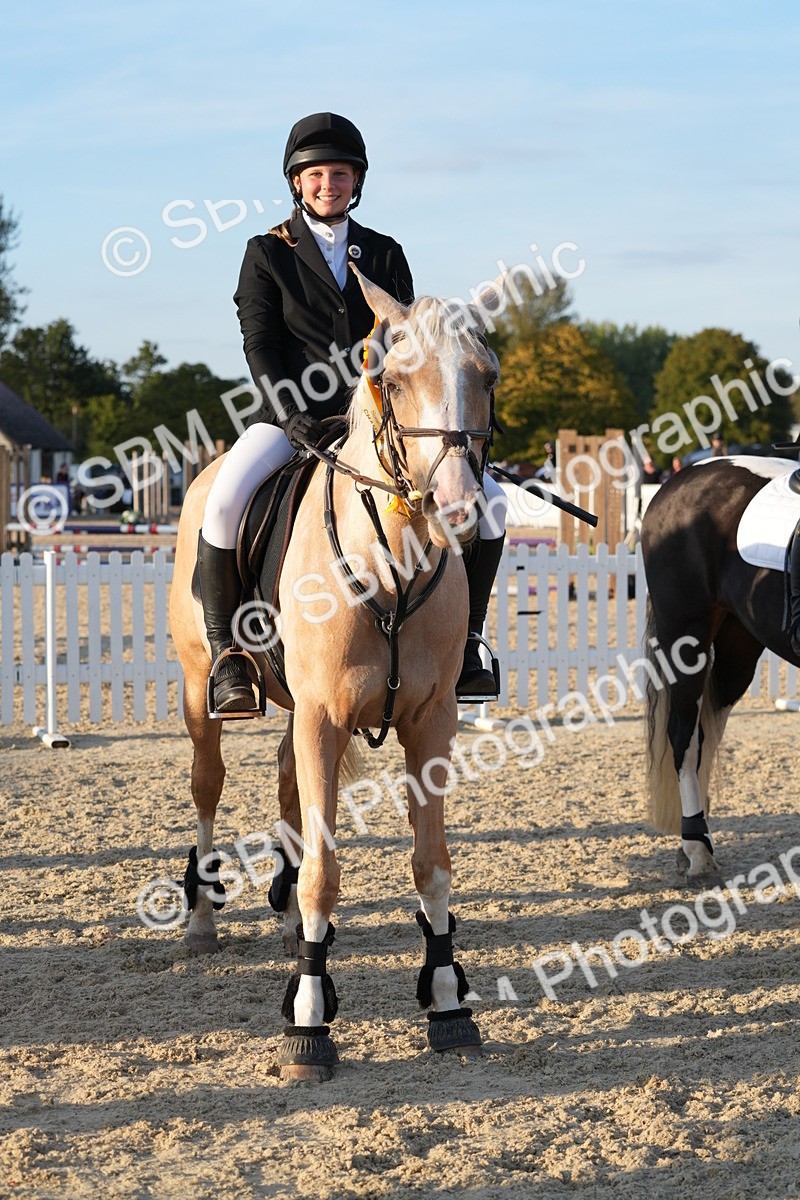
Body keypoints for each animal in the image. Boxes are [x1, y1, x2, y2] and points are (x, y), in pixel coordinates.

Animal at [169, 266, 505, 1080]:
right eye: (395, 377)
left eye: (486, 376)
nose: (457, 508)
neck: (392, 564)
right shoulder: (324, 718)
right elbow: (326, 870)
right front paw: (309, 1020)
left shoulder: (429, 721)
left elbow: (431, 863)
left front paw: (446, 1002)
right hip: (201, 691)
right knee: (207, 785)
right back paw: (202, 920)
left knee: (290, 783)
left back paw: (290, 917)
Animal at [640, 455, 799, 881]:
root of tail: (682, 478)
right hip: (686, 637)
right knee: (684, 734)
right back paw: (696, 850)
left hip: (736, 647)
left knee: (704, 734)